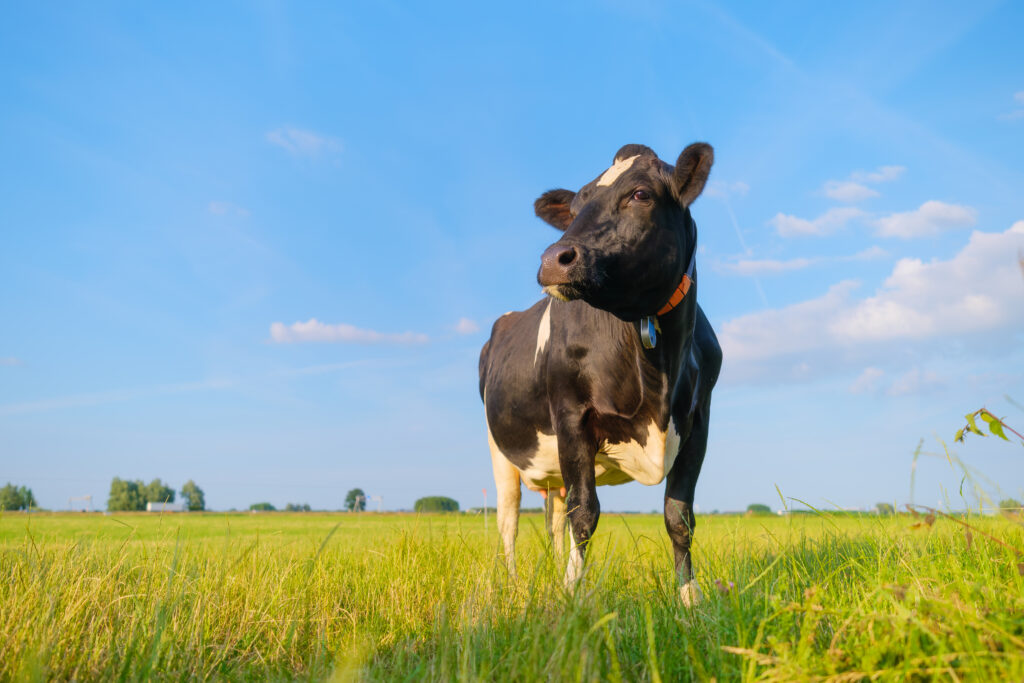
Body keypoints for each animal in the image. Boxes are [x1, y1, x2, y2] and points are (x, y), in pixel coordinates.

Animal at [478, 142, 721, 605]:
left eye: (641, 194)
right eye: (574, 208)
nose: (552, 260)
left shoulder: (699, 421)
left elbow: (679, 515)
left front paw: (691, 600)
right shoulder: (572, 415)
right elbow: (585, 512)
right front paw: (574, 595)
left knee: (554, 518)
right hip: (500, 451)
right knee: (509, 521)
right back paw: (515, 588)